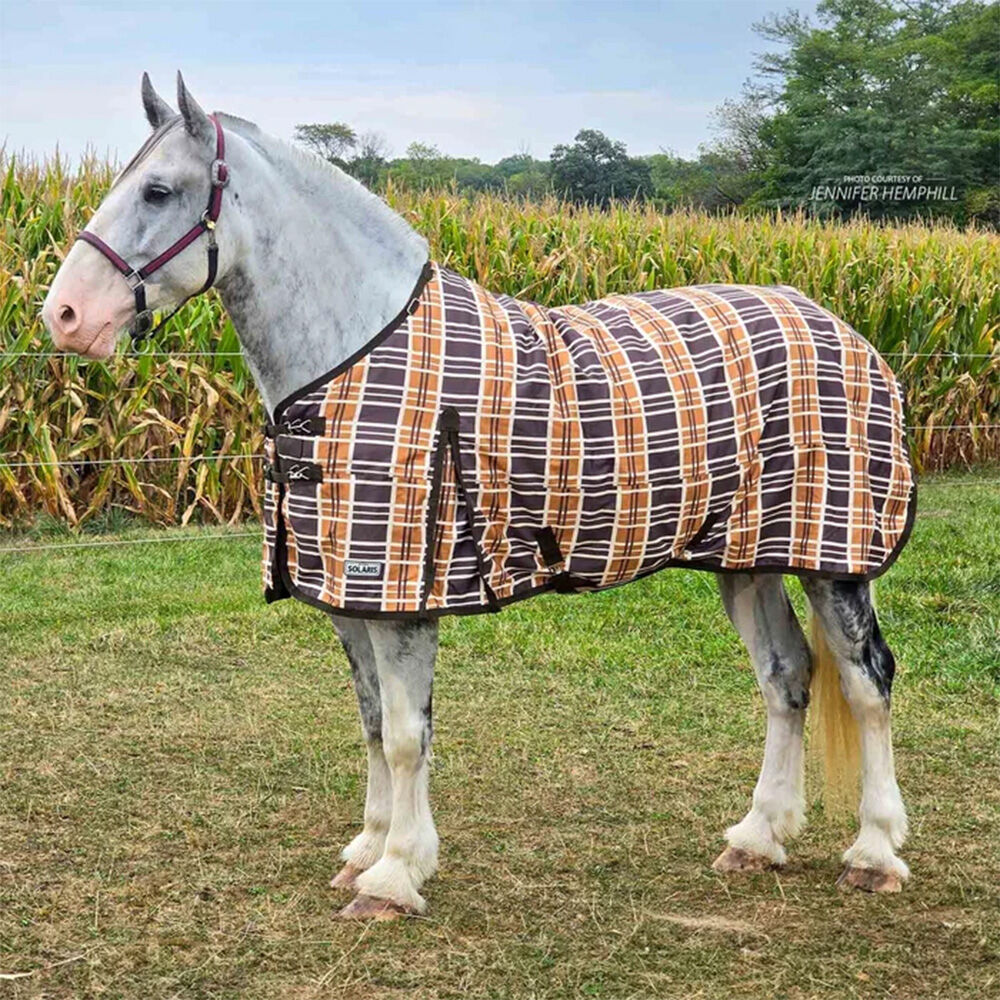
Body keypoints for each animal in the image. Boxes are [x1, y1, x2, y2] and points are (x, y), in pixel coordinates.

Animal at [42, 73, 914, 920]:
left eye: (158, 190)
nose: (64, 316)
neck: (355, 355)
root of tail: (841, 329)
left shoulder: (405, 597)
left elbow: (404, 734)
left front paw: (395, 876)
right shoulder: (347, 594)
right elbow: (370, 722)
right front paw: (367, 849)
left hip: (837, 559)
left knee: (867, 683)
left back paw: (873, 854)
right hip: (746, 559)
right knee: (786, 676)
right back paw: (758, 837)